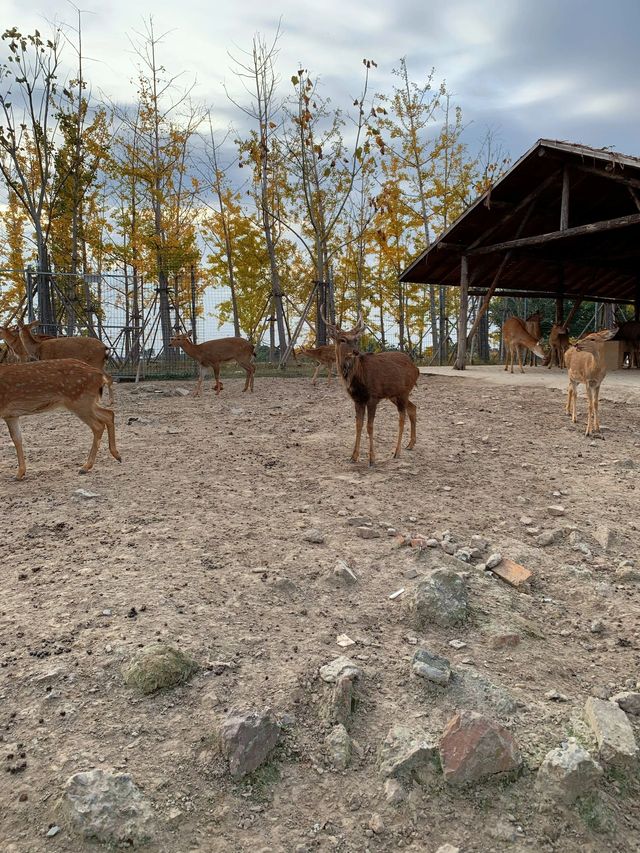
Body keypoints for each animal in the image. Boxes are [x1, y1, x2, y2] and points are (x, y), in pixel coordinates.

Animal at [324, 314, 420, 466]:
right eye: (342, 339)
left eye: (356, 339)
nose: (356, 352)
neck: (358, 378)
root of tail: (417, 369)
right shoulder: (357, 400)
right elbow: (358, 425)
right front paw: (353, 456)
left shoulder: (373, 397)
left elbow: (370, 426)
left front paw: (372, 459)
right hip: (394, 394)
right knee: (413, 407)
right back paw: (410, 444)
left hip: (404, 392)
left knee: (402, 417)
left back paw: (397, 452)